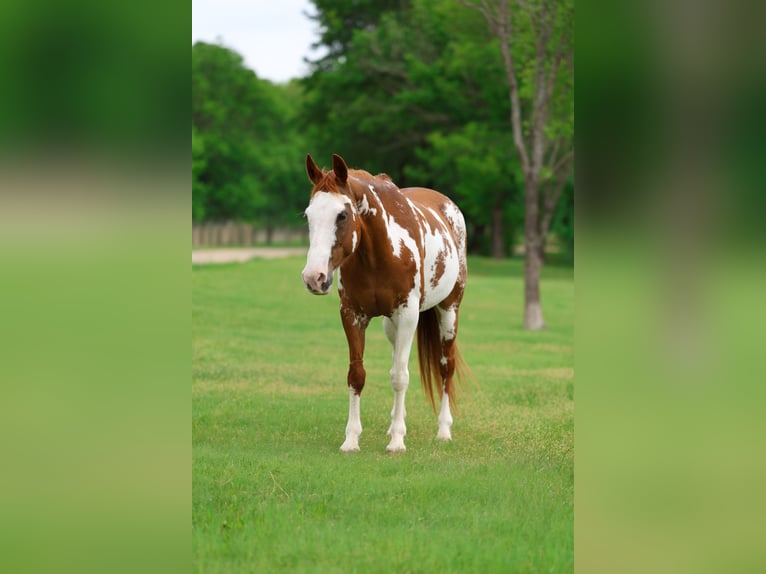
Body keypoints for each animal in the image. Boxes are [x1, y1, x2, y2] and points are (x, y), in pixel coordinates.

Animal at [301, 153, 468, 452]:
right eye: (309, 215)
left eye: (342, 214)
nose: (313, 277)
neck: (379, 254)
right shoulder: (352, 315)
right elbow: (357, 374)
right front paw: (352, 439)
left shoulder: (408, 314)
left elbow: (400, 378)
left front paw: (397, 442)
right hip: (391, 326)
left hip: (449, 311)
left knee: (444, 366)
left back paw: (443, 430)